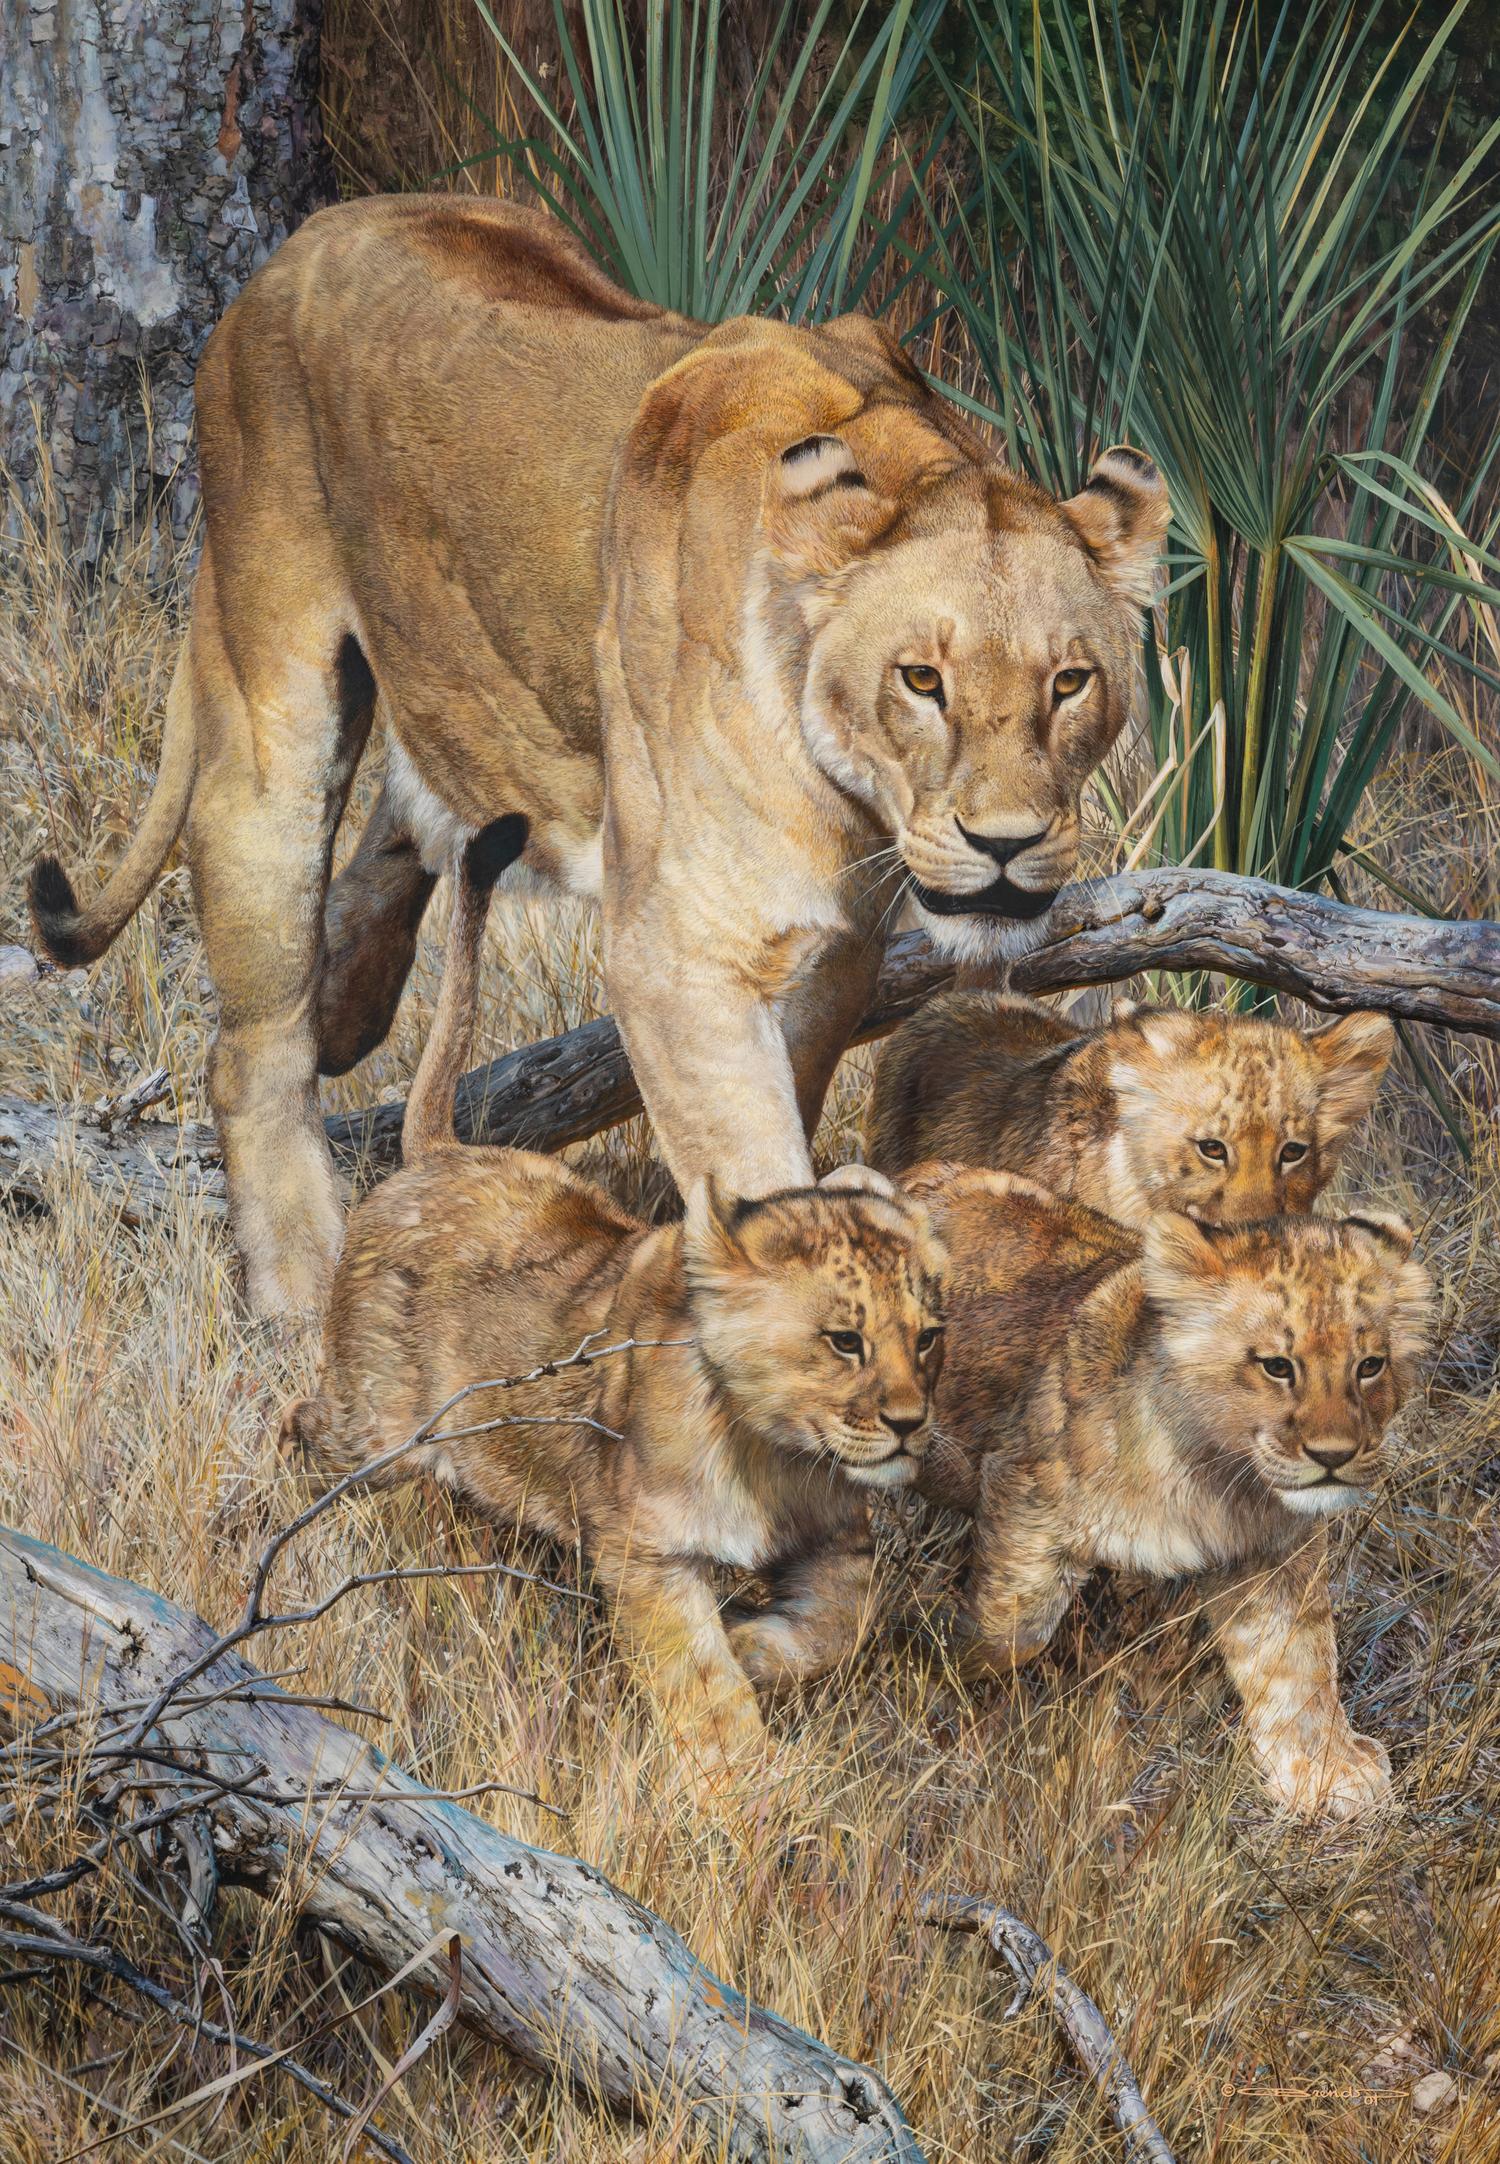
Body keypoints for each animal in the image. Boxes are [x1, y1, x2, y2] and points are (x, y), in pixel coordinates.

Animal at [28, 195, 1168, 1315]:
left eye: (1071, 683)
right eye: (921, 680)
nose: (1006, 845)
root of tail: (302, 239)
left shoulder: (837, 949)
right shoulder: (679, 950)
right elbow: (753, 1159)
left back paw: (349, 989)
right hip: (270, 704)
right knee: (256, 1045)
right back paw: (303, 1293)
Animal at [282, 830, 947, 1794]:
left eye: (928, 1340)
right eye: (843, 1342)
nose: (909, 1425)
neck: (773, 1455)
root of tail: (440, 1154)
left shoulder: (836, 1539)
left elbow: (846, 1618)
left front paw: (756, 1646)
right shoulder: (643, 1554)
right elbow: (701, 1688)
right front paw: (744, 1793)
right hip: (373, 1433)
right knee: (303, 1425)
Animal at [903, 1164, 1433, 1818]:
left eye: (1370, 1365)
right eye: (1277, 1366)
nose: (1334, 1457)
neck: (1215, 1478)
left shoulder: (1270, 1553)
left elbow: (1298, 1659)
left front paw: (1328, 1774)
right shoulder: (1022, 1493)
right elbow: (1010, 1632)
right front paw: (937, 1667)